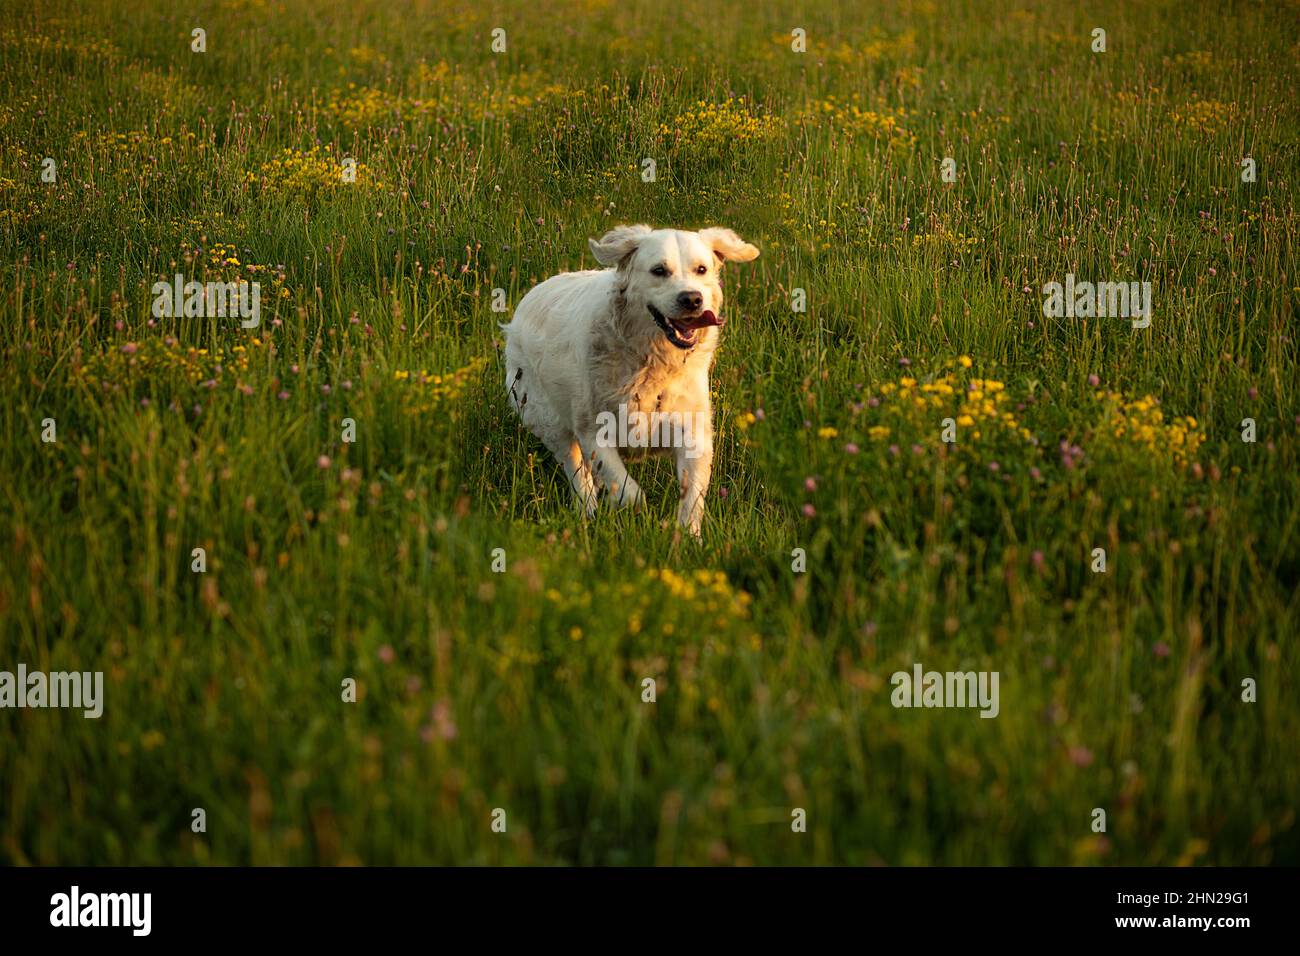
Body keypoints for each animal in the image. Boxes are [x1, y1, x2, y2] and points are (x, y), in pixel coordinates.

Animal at [501, 226, 759, 538]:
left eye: (701, 269)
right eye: (659, 270)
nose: (692, 299)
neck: (653, 361)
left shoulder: (692, 431)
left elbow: (692, 495)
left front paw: (687, 538)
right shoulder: (594, 432)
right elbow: (630, 494)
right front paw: (639, 517)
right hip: (546, 418)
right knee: (576, 470)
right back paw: (588, 512)